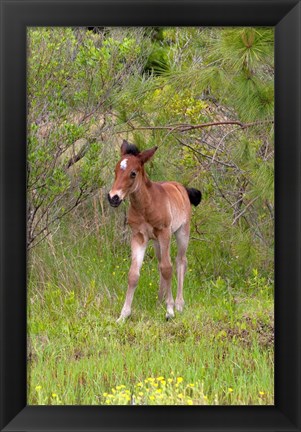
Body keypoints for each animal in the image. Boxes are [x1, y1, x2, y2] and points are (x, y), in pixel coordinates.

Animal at [108, 139, 202, 320]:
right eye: (115, 170)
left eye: (133, 173)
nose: (113, 198)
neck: (146, 206)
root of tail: (182, 187)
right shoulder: (139, 236)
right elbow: (133, 274)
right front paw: (123, 315)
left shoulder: (164, 233)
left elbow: (168, 268)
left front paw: (170, 310)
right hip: (156, 242)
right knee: (160, 264)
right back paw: (159, 301)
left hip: (182, 232)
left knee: (180, 261)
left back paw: (179, 303)